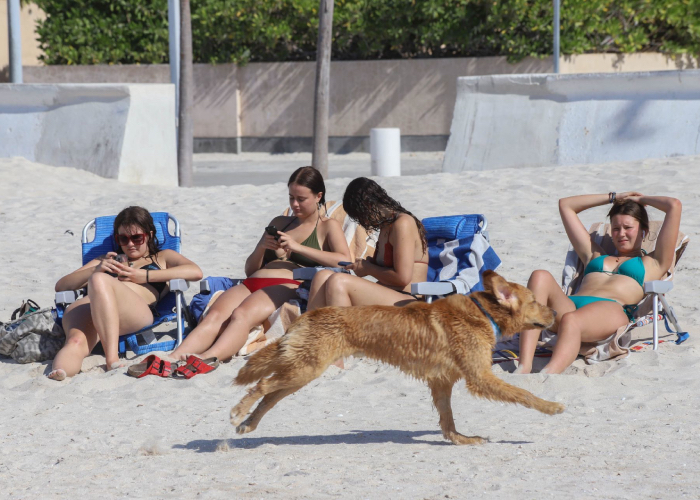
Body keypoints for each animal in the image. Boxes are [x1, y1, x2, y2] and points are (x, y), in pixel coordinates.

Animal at [231, 272, 564, 444]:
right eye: (536, 301)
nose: (557, 312)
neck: (483, 314)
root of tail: (306, 315)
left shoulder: (442, 382)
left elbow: (448, 419)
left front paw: (460, 439)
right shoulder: (480, 378)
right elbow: (523, 394)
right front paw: (551, 407)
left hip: (299, 374)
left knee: (268, 396)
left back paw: (248, 424)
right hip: (304, 370)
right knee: (261, 385)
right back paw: (238, 412)